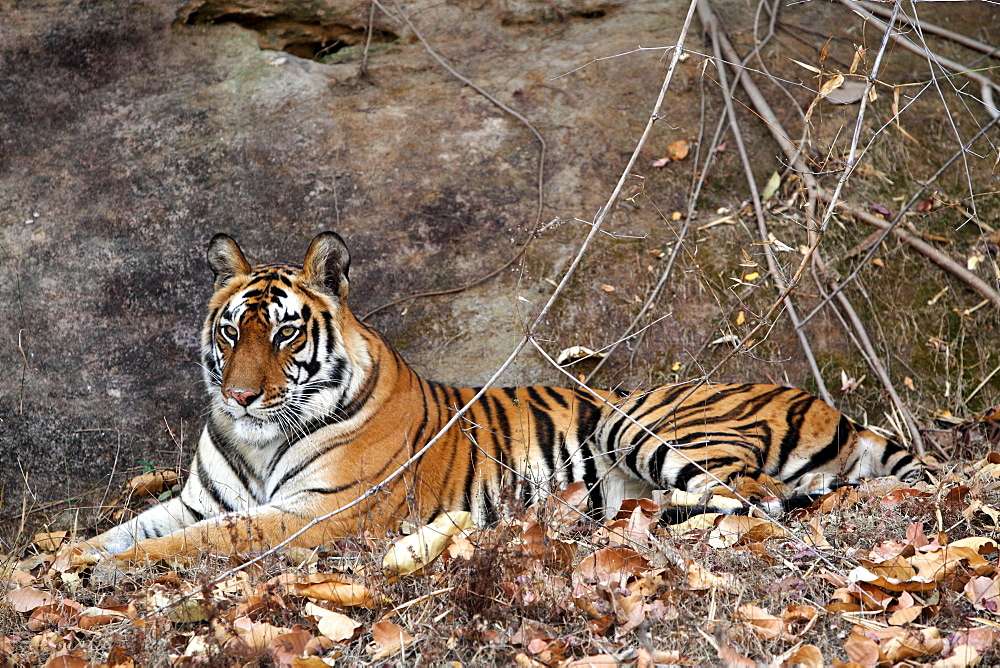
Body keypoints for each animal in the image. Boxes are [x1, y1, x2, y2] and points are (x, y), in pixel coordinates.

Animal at [82, 232, 924, 560]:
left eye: (286, 335)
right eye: (230, 332)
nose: (240, 396)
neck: (257, 443)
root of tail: (835, 409)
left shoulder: (322, 512)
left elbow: (203, 542)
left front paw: (118, 574)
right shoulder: (197, 499)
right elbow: (126, 530)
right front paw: (76, 564)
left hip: (647, 423)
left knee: (755, 503)